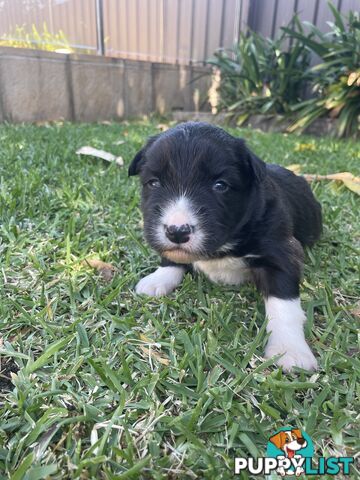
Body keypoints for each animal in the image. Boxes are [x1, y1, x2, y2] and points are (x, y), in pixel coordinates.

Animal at [128, 121, 322, 372]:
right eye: (153, 183)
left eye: (220, 186)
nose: (177, 231)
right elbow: (172, 259)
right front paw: (159, 278)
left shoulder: (281, 251)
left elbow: (283, 304)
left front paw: (289, 349)